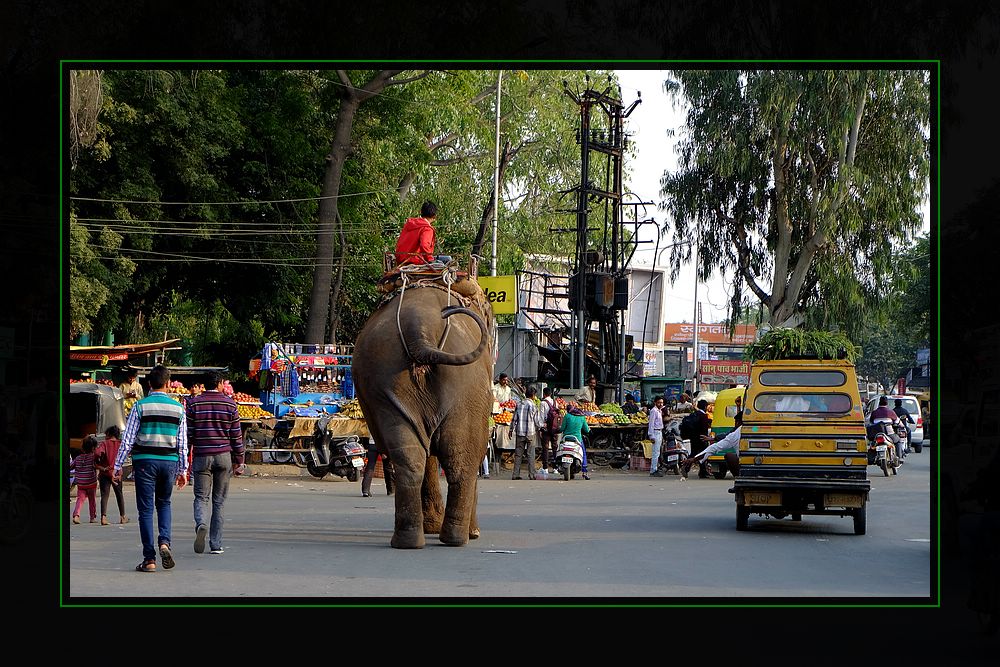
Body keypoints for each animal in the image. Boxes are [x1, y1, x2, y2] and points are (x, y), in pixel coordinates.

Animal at [354, 280, 494, 548]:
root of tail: (420, 331)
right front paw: (471, 532)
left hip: (384, 382)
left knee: (411, 458)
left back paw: (408, 541)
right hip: (470, 387)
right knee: (463, 461)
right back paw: (460, 538)